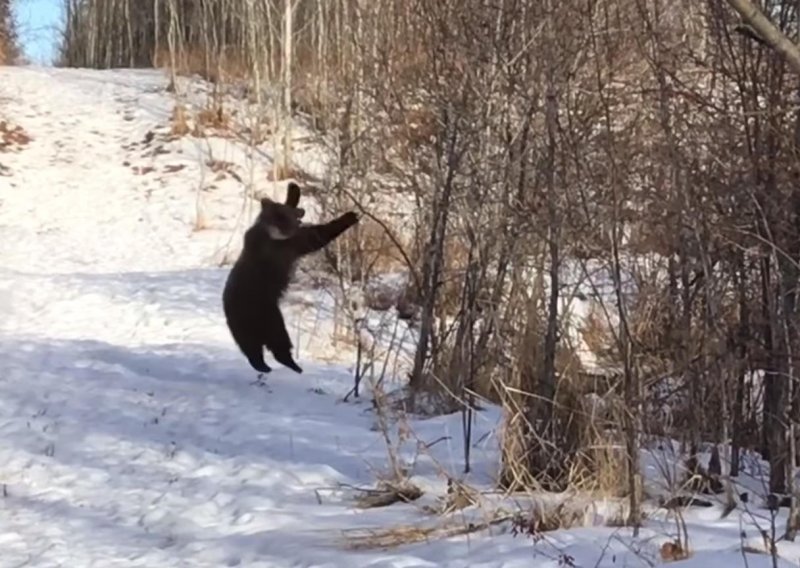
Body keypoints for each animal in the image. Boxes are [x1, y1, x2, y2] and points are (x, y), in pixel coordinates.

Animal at [222, 182, 360, 374]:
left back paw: (264, 364)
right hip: (264, 312)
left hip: (244, 321)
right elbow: (317, 236)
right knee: (276, 339)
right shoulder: (284, 246)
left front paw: (293, 189)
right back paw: (288, 363)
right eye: (285, 216)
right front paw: (348, 217)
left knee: (250, 345)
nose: (301, 213)